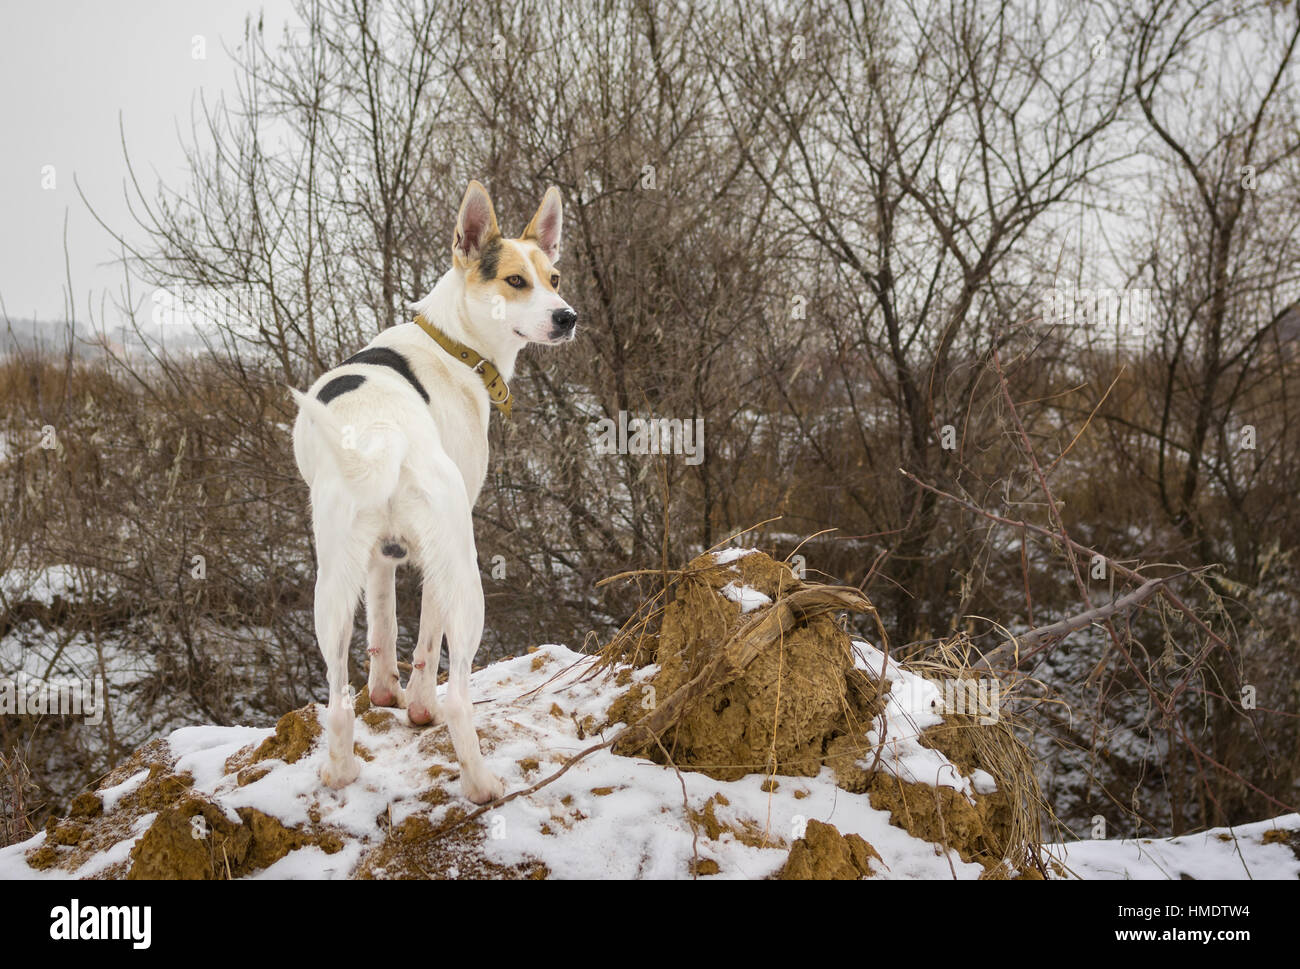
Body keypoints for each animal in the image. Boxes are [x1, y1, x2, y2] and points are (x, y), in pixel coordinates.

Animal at [297, 182, 582, 801]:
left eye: (553, 277)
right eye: (516, 281)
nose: (568, 316)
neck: (452, 342)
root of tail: (383, 435)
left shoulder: (381, 557)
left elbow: (383, 628)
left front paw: (386, 692)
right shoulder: (436, 555)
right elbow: (426, 646)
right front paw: (418, 707)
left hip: (330, 585)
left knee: (338, 699)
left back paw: (340, 770)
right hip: (463, 572)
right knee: (457, 695)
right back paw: (481, 783)